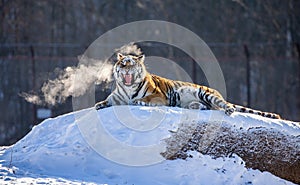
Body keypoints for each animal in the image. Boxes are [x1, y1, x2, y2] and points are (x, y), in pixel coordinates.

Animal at [95, 52, 282, 119]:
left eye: (132, 64)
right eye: (123, 63)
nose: (127, 69)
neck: (128, 88)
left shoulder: (159, 96)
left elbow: (145, 99)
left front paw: (137, 101)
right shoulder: (116, 97)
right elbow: (108, 101)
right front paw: (99, 104)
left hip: (206, 94)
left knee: (223, 105)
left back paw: (228, 110)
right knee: (209, 107)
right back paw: (197, 107)